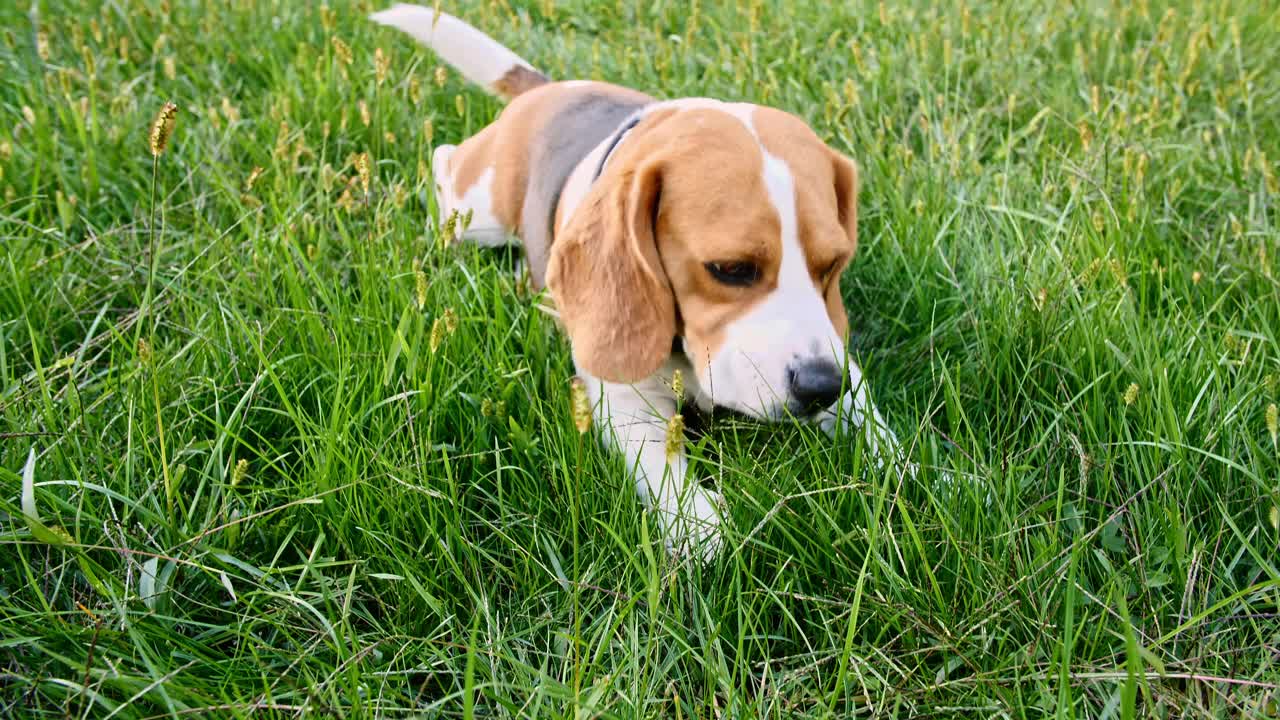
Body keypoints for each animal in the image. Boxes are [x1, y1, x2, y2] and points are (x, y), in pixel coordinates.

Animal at [373, 4, 911, 556]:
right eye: (730, 269)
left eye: (832, 264)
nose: (821, 387)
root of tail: (550, 88)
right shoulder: (621, 398)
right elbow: (666, 472)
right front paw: (698, 525)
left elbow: (870, 418)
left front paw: (910, 469)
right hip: (481, 211)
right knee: (444, 161)